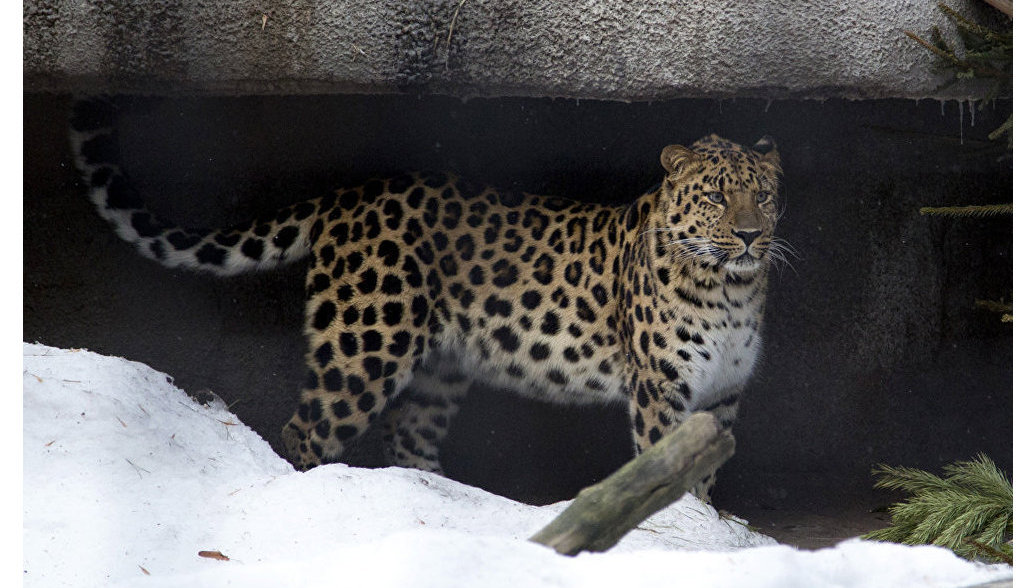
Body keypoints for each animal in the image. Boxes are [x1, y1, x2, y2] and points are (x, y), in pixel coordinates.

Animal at [70, 97, 783, 501]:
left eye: (765, 195)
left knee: (406, 435)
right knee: (307, 429)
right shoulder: (662, 389)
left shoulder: (724, 393)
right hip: (365, 347)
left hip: (439, 368)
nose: (752, 234)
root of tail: (349, 196)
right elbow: (669, 467)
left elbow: (706, 472)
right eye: (716, 195)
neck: (732, 289)